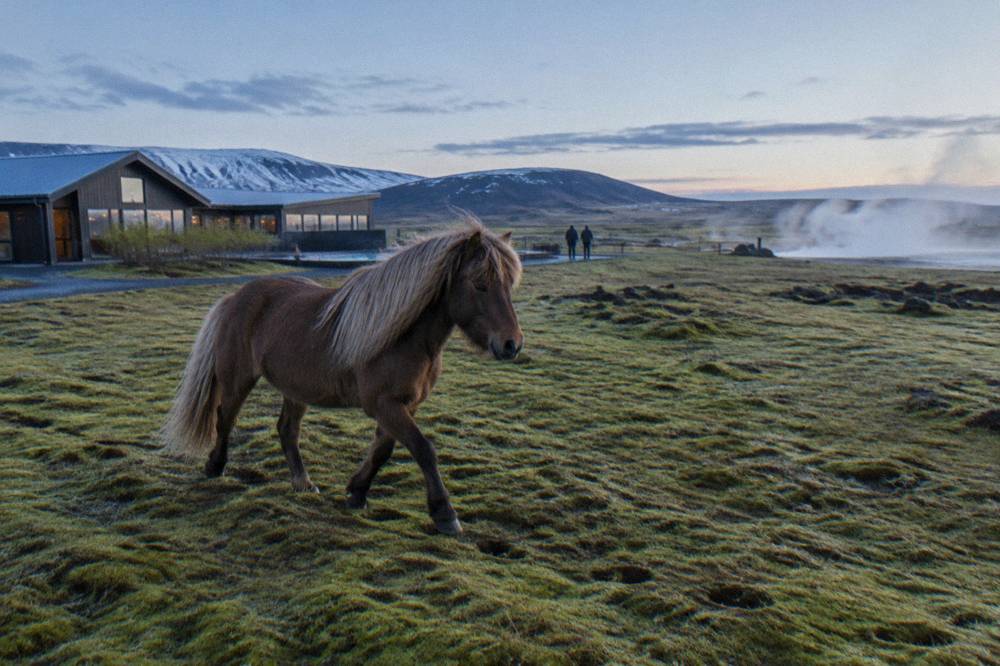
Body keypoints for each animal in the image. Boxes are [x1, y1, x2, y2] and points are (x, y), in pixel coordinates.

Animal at [161, 223, 523, 535]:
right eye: (480, 283)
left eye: (509, 285)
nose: (512, 344)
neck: (404, 336)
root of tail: (234, 298)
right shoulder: (384, 405)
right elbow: (423, 449)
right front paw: (444, 514)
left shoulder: (403, 405)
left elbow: (382, 450)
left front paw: (356, 492)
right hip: (238, 380)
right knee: (225, 419)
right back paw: (215, 466)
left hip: (295, 389)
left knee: (287, 430)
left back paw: (303, 483)